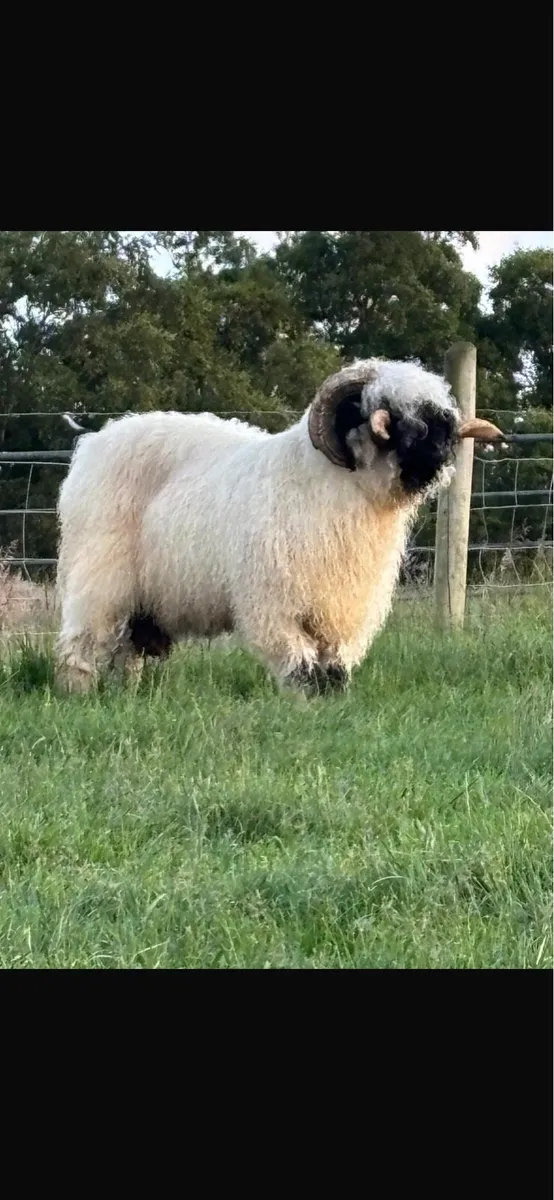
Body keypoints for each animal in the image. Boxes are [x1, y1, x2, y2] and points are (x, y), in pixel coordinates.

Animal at [54, 360, 502, 695]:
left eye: (437, 412)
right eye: (385, 410)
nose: (440, 450)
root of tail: (94, 442)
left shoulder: (346, 612)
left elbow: (334, 673)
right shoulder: (274, 607)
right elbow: (301, 669)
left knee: (125, 653)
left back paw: (125, 697)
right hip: (99, 576)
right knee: (81, 643)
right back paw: (79, 694)